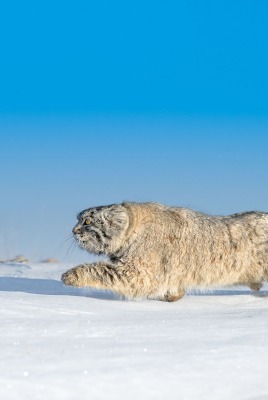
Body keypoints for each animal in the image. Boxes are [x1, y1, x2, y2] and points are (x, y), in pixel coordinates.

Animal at [61, 203, 268, 300]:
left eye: (87, 221)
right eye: (78, 220)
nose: (73, 230)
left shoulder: (137, 273)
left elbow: (100, 270)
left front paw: (72, 275)